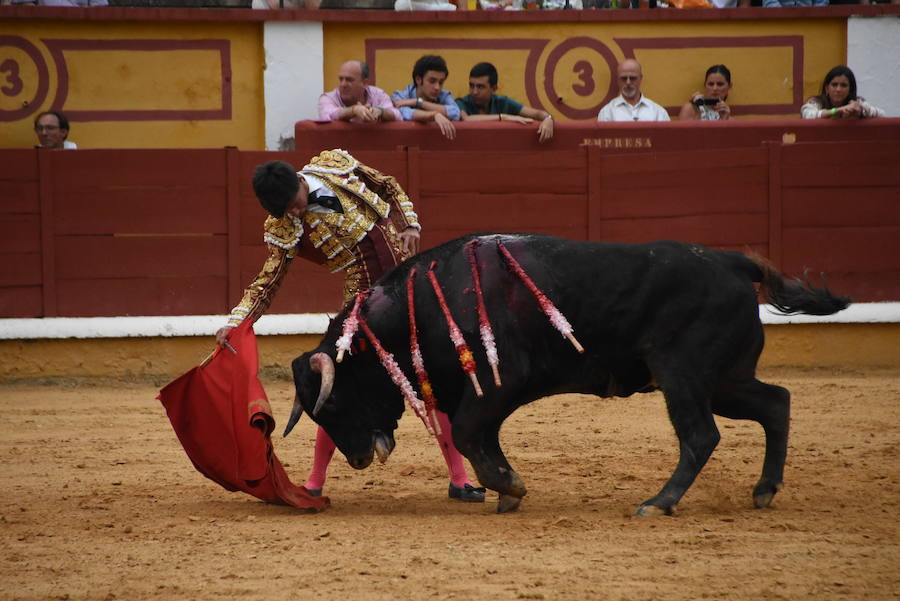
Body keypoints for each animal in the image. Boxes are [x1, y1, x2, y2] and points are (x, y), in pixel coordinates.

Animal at [284, 232, 852, 512]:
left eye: (334, 401)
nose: (358, 458)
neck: (419, 308)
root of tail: (733, 263)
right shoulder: (485, 393)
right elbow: (477, 437)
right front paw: (504, 493)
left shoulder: (502, 381)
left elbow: (467, 433)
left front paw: (509, 487)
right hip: (724, 380)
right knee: (776, 401)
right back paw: (764, 491)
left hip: (684, 374)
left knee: (700, 435)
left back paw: (659, 503)